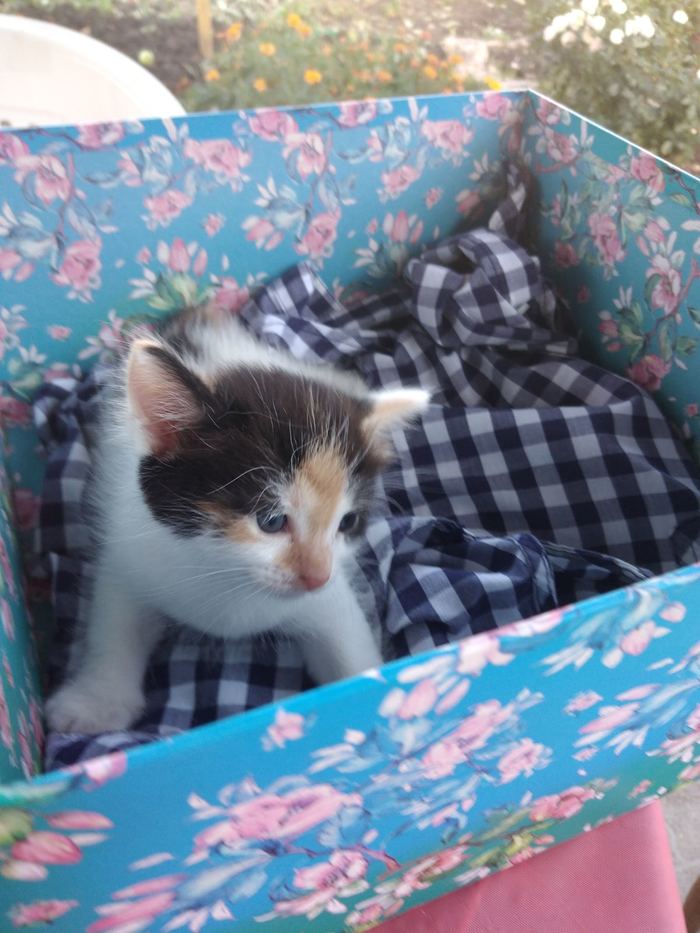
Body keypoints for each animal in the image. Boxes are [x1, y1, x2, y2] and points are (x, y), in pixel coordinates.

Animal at [45, 306, 429, 734]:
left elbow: (347, 639)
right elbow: (113, 623)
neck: (225, 575)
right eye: (271, 521)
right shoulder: (128, 547)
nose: (316, 576)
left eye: (347, 523)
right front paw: (95, 703)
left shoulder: (327, 596)